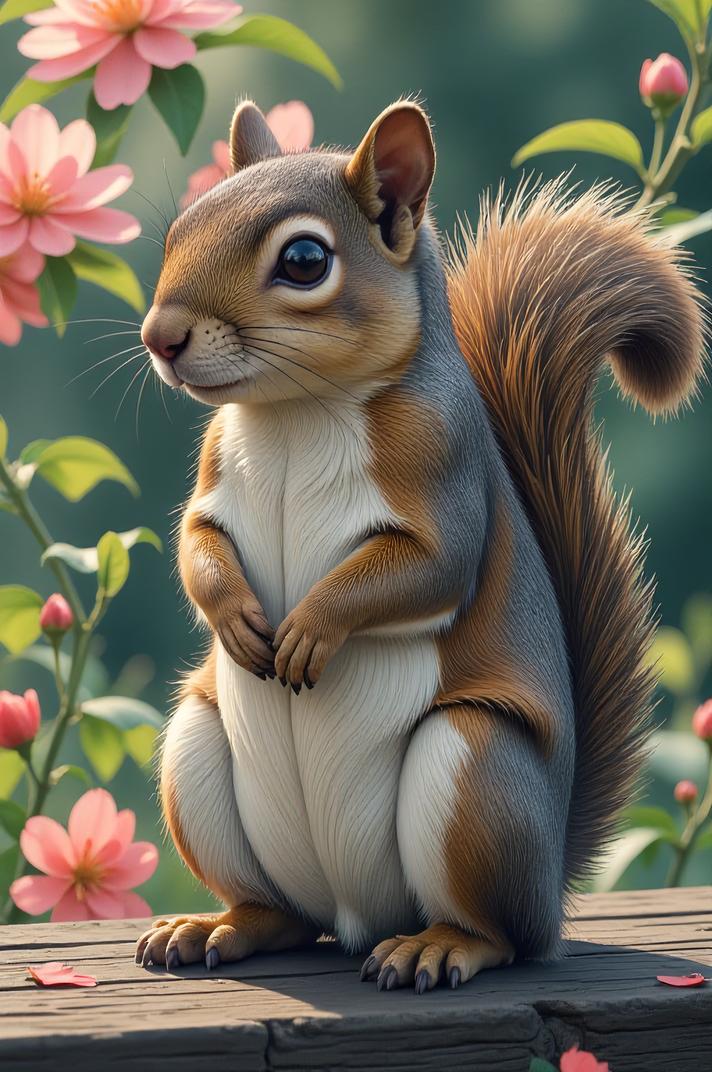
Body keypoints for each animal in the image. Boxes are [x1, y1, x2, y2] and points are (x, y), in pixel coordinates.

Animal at [136, 100, 705, 992]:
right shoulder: (214, 478)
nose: (160, 337)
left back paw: (439, 947)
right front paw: (236, 619)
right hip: (198, 751)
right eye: (178, 230)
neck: (296, 412)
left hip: (475, 774)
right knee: (282, 916)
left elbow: (426, 570)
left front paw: (308, 631)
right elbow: (198, 543)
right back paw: (216, 925)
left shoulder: (443, 469)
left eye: (304, 260)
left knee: (503, 933)